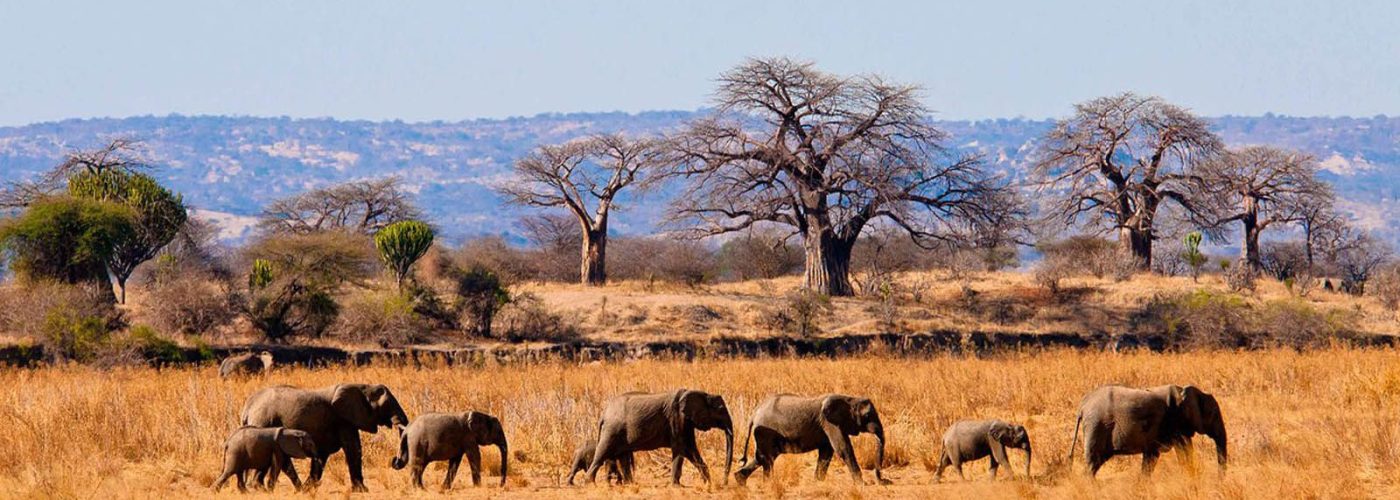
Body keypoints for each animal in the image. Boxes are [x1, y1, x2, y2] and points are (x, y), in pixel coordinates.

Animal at [238, 380, 406, 490]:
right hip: (264, 423)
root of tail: (247, 407)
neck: (363, 387)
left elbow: (323, 455)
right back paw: (259, 489)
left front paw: (310, 488)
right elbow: (353, 449)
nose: (394, 460)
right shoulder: (343, 419)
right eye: (386, 405)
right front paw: (362, 491)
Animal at [579, 386, 733, 484]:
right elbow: (681, 450)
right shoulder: (677, 419)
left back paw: (630, 484)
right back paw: (590, 483)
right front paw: (677, 486)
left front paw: (708, 483)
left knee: (623, 457)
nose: (724, 483)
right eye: (720, 409)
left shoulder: (686, 423)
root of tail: (604, 414)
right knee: (602, 452)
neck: (701, 393)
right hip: (612, 429)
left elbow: (691, 450)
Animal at [733, 392, 884, 481]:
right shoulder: (830, 423)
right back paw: (767, 483)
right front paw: (860, 483)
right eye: (867, 416)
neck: (850, 399)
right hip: (765, 433)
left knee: (763, 457)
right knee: (766, 458)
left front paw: (818, 481)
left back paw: (740, 481)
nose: (882, 479)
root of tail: (754, 413)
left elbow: (826, 452)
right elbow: (843, 448)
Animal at [1069, 380, 1226, 476]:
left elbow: (1151, 457)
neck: (1183, 391)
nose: (1219, 480)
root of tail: (1082, 406)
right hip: (1096, 426)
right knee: (1093, 462)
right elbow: (1184, 449)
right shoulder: (1174, 421)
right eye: (1214, 415)